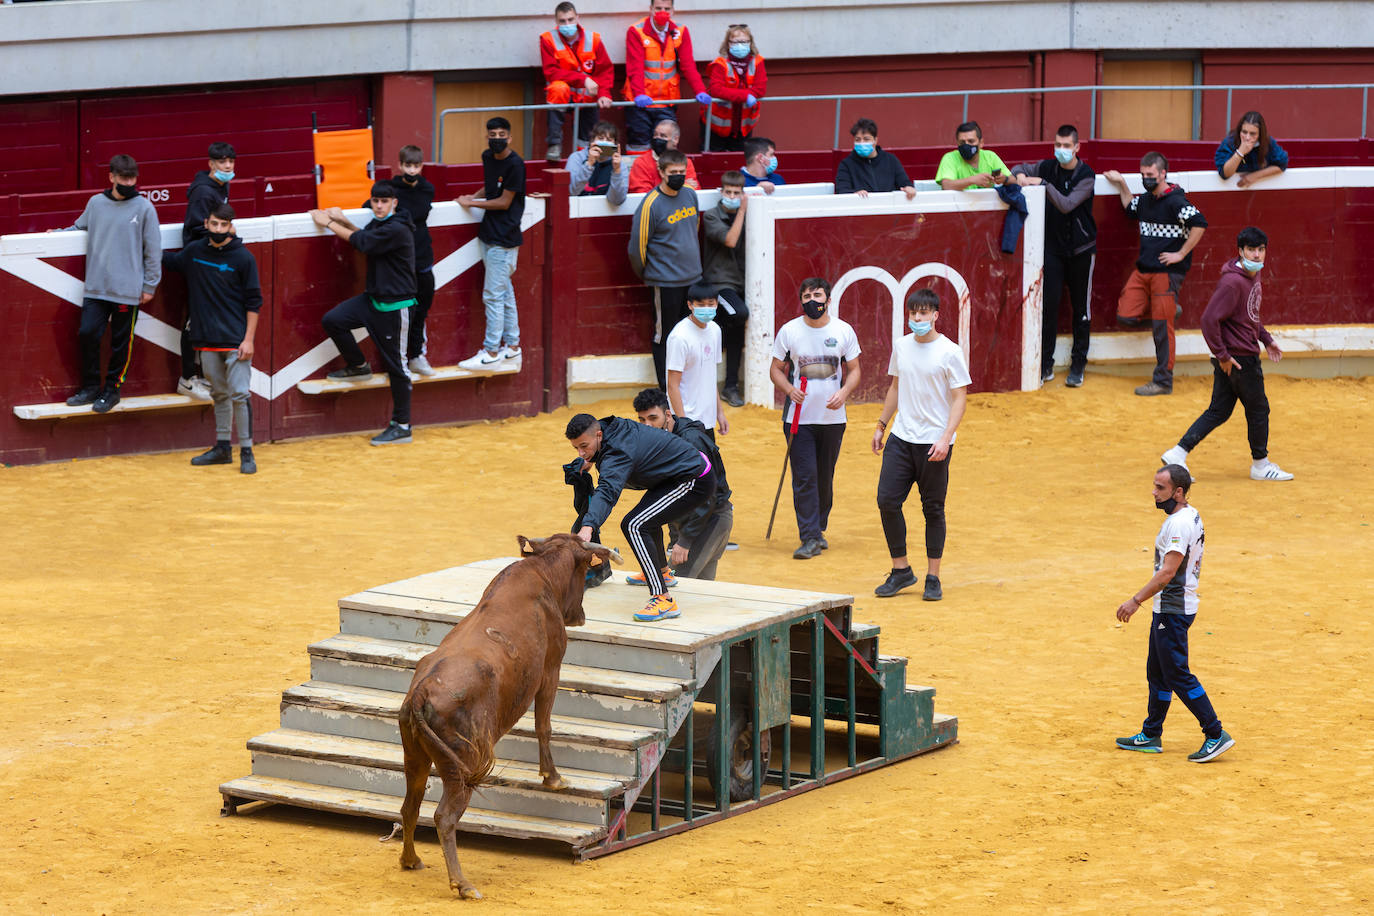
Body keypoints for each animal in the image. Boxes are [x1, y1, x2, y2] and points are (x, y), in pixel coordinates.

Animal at [392, 532, 618, 900]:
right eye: (586, 565)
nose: (581, 614)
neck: (542, 574)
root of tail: (421, 693)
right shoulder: (550, 671)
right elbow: (544, 725)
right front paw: (553, 777)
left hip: (415, 757)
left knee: (409, 806)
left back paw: (411, 860)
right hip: (460, 767)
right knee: (444, 817)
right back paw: (463, 884)